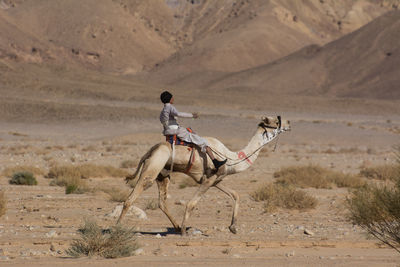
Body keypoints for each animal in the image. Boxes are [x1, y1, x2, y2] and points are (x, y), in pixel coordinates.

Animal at [117, 116, 290, 236]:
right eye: (276, 121)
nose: (288, 122)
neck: (231, 158)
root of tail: (150, 151)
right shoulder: (208, 180)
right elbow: (191, 203)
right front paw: (185, 231)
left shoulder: (216, 180)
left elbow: (235, 195)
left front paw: (233, 227)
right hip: (153, 167)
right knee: (131, 198)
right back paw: (116, 226)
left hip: (162, 174)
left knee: (161, 202)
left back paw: (176, 226)